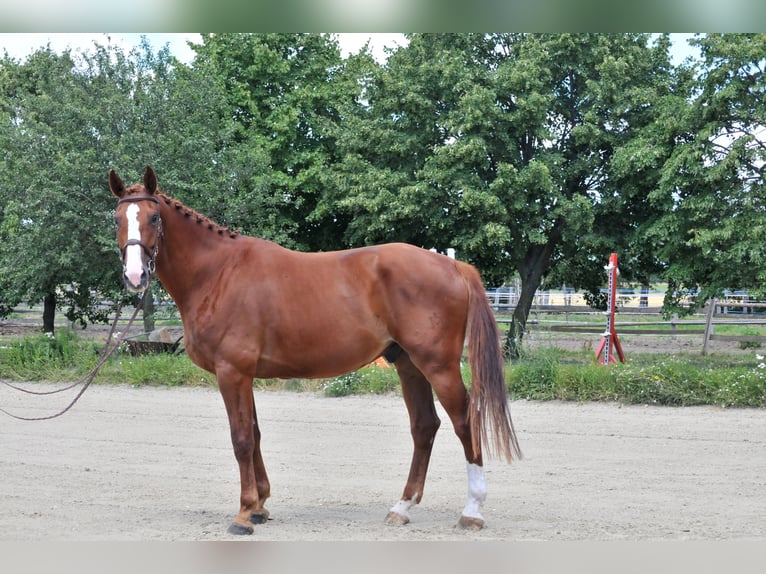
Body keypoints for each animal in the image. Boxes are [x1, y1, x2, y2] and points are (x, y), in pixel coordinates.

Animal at [109, 166, 520, 536]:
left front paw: (243, 514)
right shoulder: (246, 375)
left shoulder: (232, 372)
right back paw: (401, 507)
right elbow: (255, 435)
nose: (135, 276)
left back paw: (472, 511)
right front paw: (259, 506)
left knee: (465, 421)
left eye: (154, 217)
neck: (218, 273)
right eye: (117, 219)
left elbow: (241, 439)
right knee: (424, 426)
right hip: (408, 365)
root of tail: (453, 265)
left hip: (438, 366)